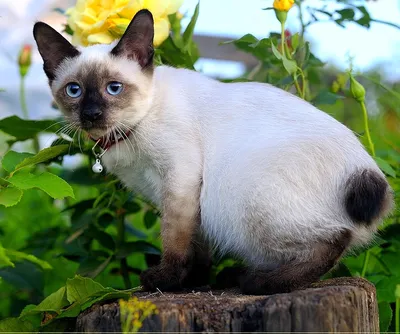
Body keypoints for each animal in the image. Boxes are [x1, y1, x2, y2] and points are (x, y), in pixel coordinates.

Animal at [33, 9, 394, 294]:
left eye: (114, 88)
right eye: (74, 91)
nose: (92, 115)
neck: (130, 131)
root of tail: (369, 172)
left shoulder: (180, 180)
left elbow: (175, 239)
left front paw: (166, 281)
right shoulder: (181, 194)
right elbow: (197, 243)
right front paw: (194, 282)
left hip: (246, 196)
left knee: (333, 240)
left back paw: (258, 283)